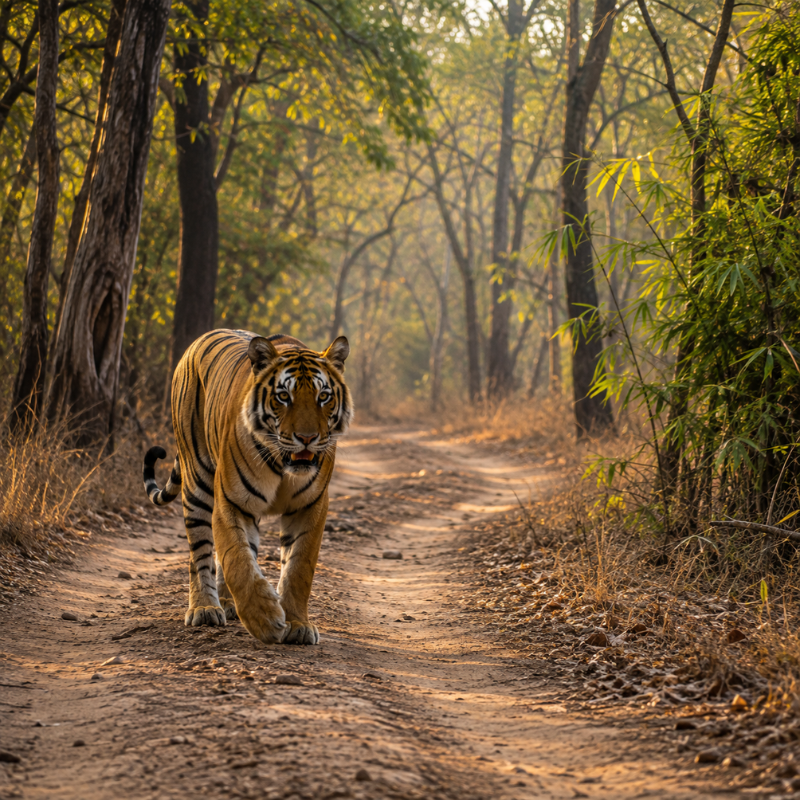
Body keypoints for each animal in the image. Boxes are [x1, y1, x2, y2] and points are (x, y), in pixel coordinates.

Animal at [142, 329, 352, 645]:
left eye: (323, 396)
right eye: (283, 396)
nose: (307, 438)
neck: (283, 465)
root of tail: (198, 340)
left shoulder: (310, 507)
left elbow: (298, 568)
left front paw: (298, 624)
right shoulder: (232, 501)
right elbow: (237, 560)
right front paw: (264, 618)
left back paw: (228, 603)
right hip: (197, 480)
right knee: (200, 552)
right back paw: (205, 608)